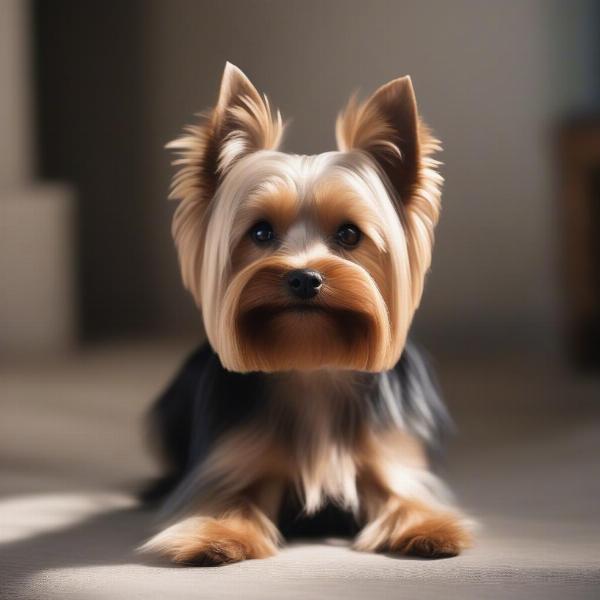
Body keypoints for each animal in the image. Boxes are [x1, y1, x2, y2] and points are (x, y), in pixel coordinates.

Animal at [141, 63, 474, 564]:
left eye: (349, 234)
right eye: (260, 232)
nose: (304, 278)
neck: (312, 361)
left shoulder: (388, 458)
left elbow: (405, 497)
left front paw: (430, 529)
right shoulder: (236, 458)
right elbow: (229, 499)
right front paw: (217, 537)